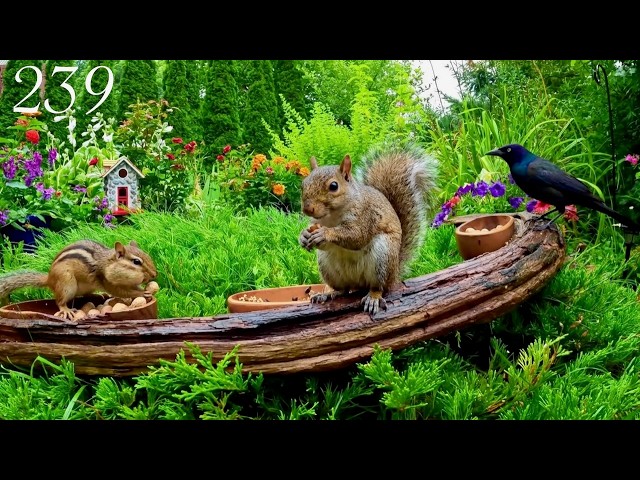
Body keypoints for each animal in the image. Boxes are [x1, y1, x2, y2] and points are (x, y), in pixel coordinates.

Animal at [0, 239, 157, 322]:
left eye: (148, 256)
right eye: (136, 262)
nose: (155, 274)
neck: (107, 263)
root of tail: (49, 278)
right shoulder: (107, 281)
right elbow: (123, 291)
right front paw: (141, 293)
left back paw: (99, 295)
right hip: (66, 284)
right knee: (60, 301)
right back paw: (66, 310)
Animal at [298, 143, 439, 315]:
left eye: (333, 186)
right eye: (303, 185)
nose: (307, 209)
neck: (332, 216)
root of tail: (395, 274)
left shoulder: (367, 216)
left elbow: (356, 236)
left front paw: (325, 233)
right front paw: (303, 236)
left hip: (382, 258)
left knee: (379, 287)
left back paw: (373, 297)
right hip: (328, 267)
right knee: (343, 290)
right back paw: (328, 294)